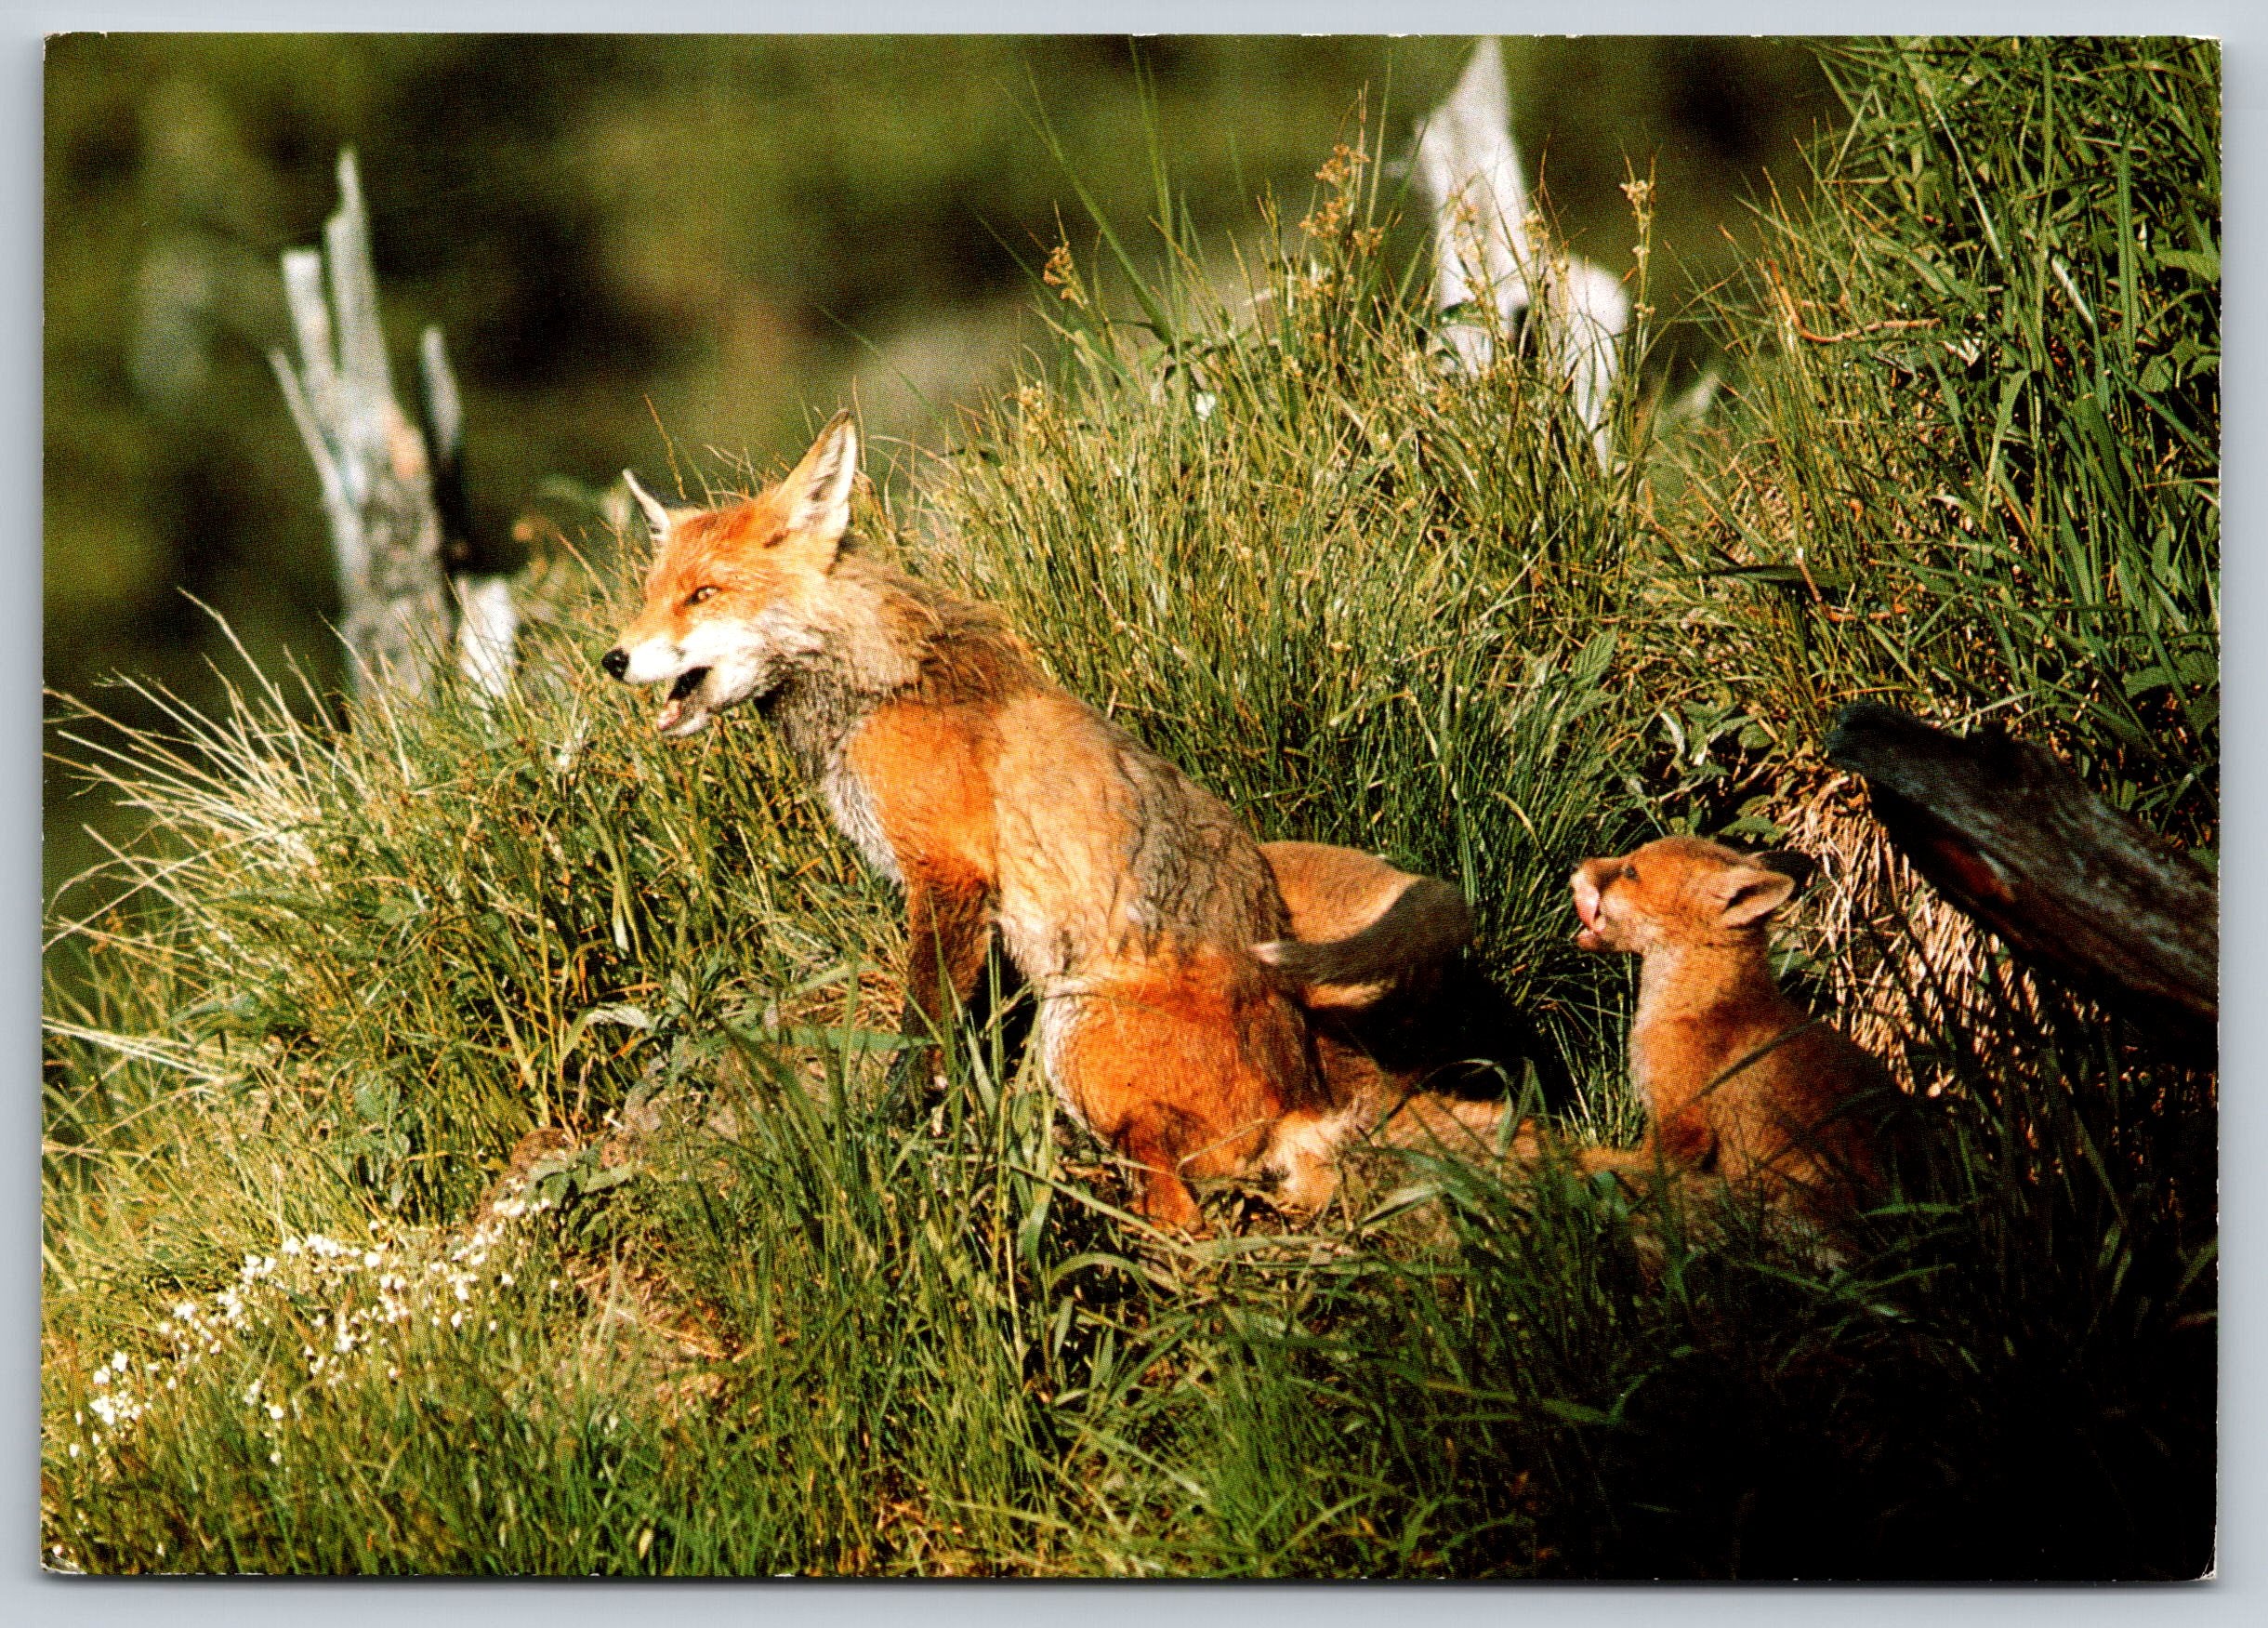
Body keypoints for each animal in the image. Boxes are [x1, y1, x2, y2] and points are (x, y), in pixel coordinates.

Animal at [599, 415, 1506, 1233]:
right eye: (647, 596)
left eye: (704, 593)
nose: (614, 658)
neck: (869, 689)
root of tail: (1300, 1098)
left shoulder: (949, 875)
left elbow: (917, 1038)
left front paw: (892, 1137)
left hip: (1075, 1030)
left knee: (1182, 1211)